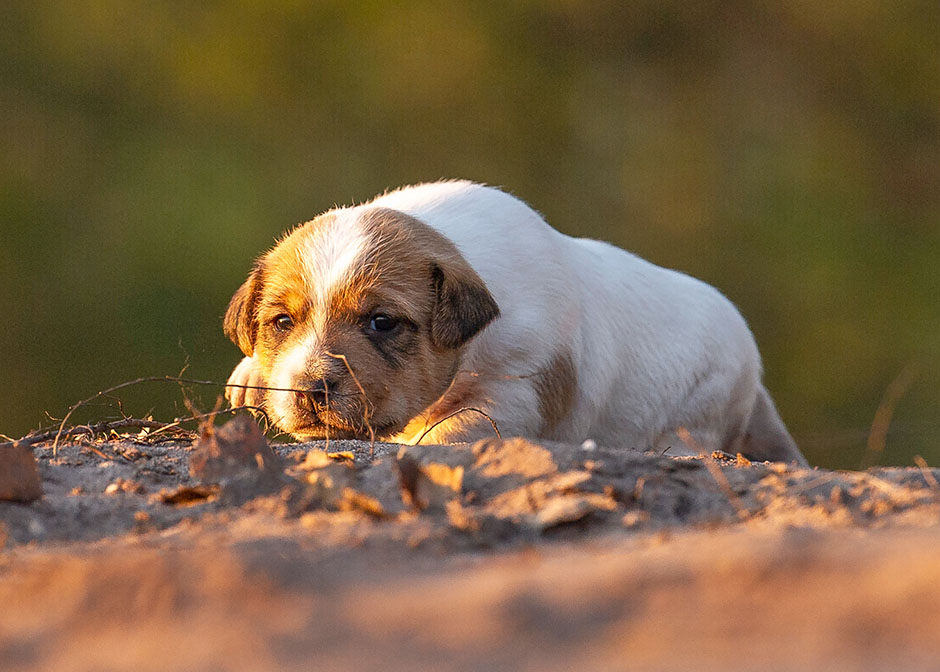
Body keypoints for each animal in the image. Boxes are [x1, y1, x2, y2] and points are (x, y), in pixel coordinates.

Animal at [222, 184, 808, 468]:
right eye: (281, 321)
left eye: (382, 322)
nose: (310, 387)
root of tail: (756, 387)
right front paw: (250, 376)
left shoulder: (519, 387)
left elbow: (451, 428)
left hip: (704, 404)